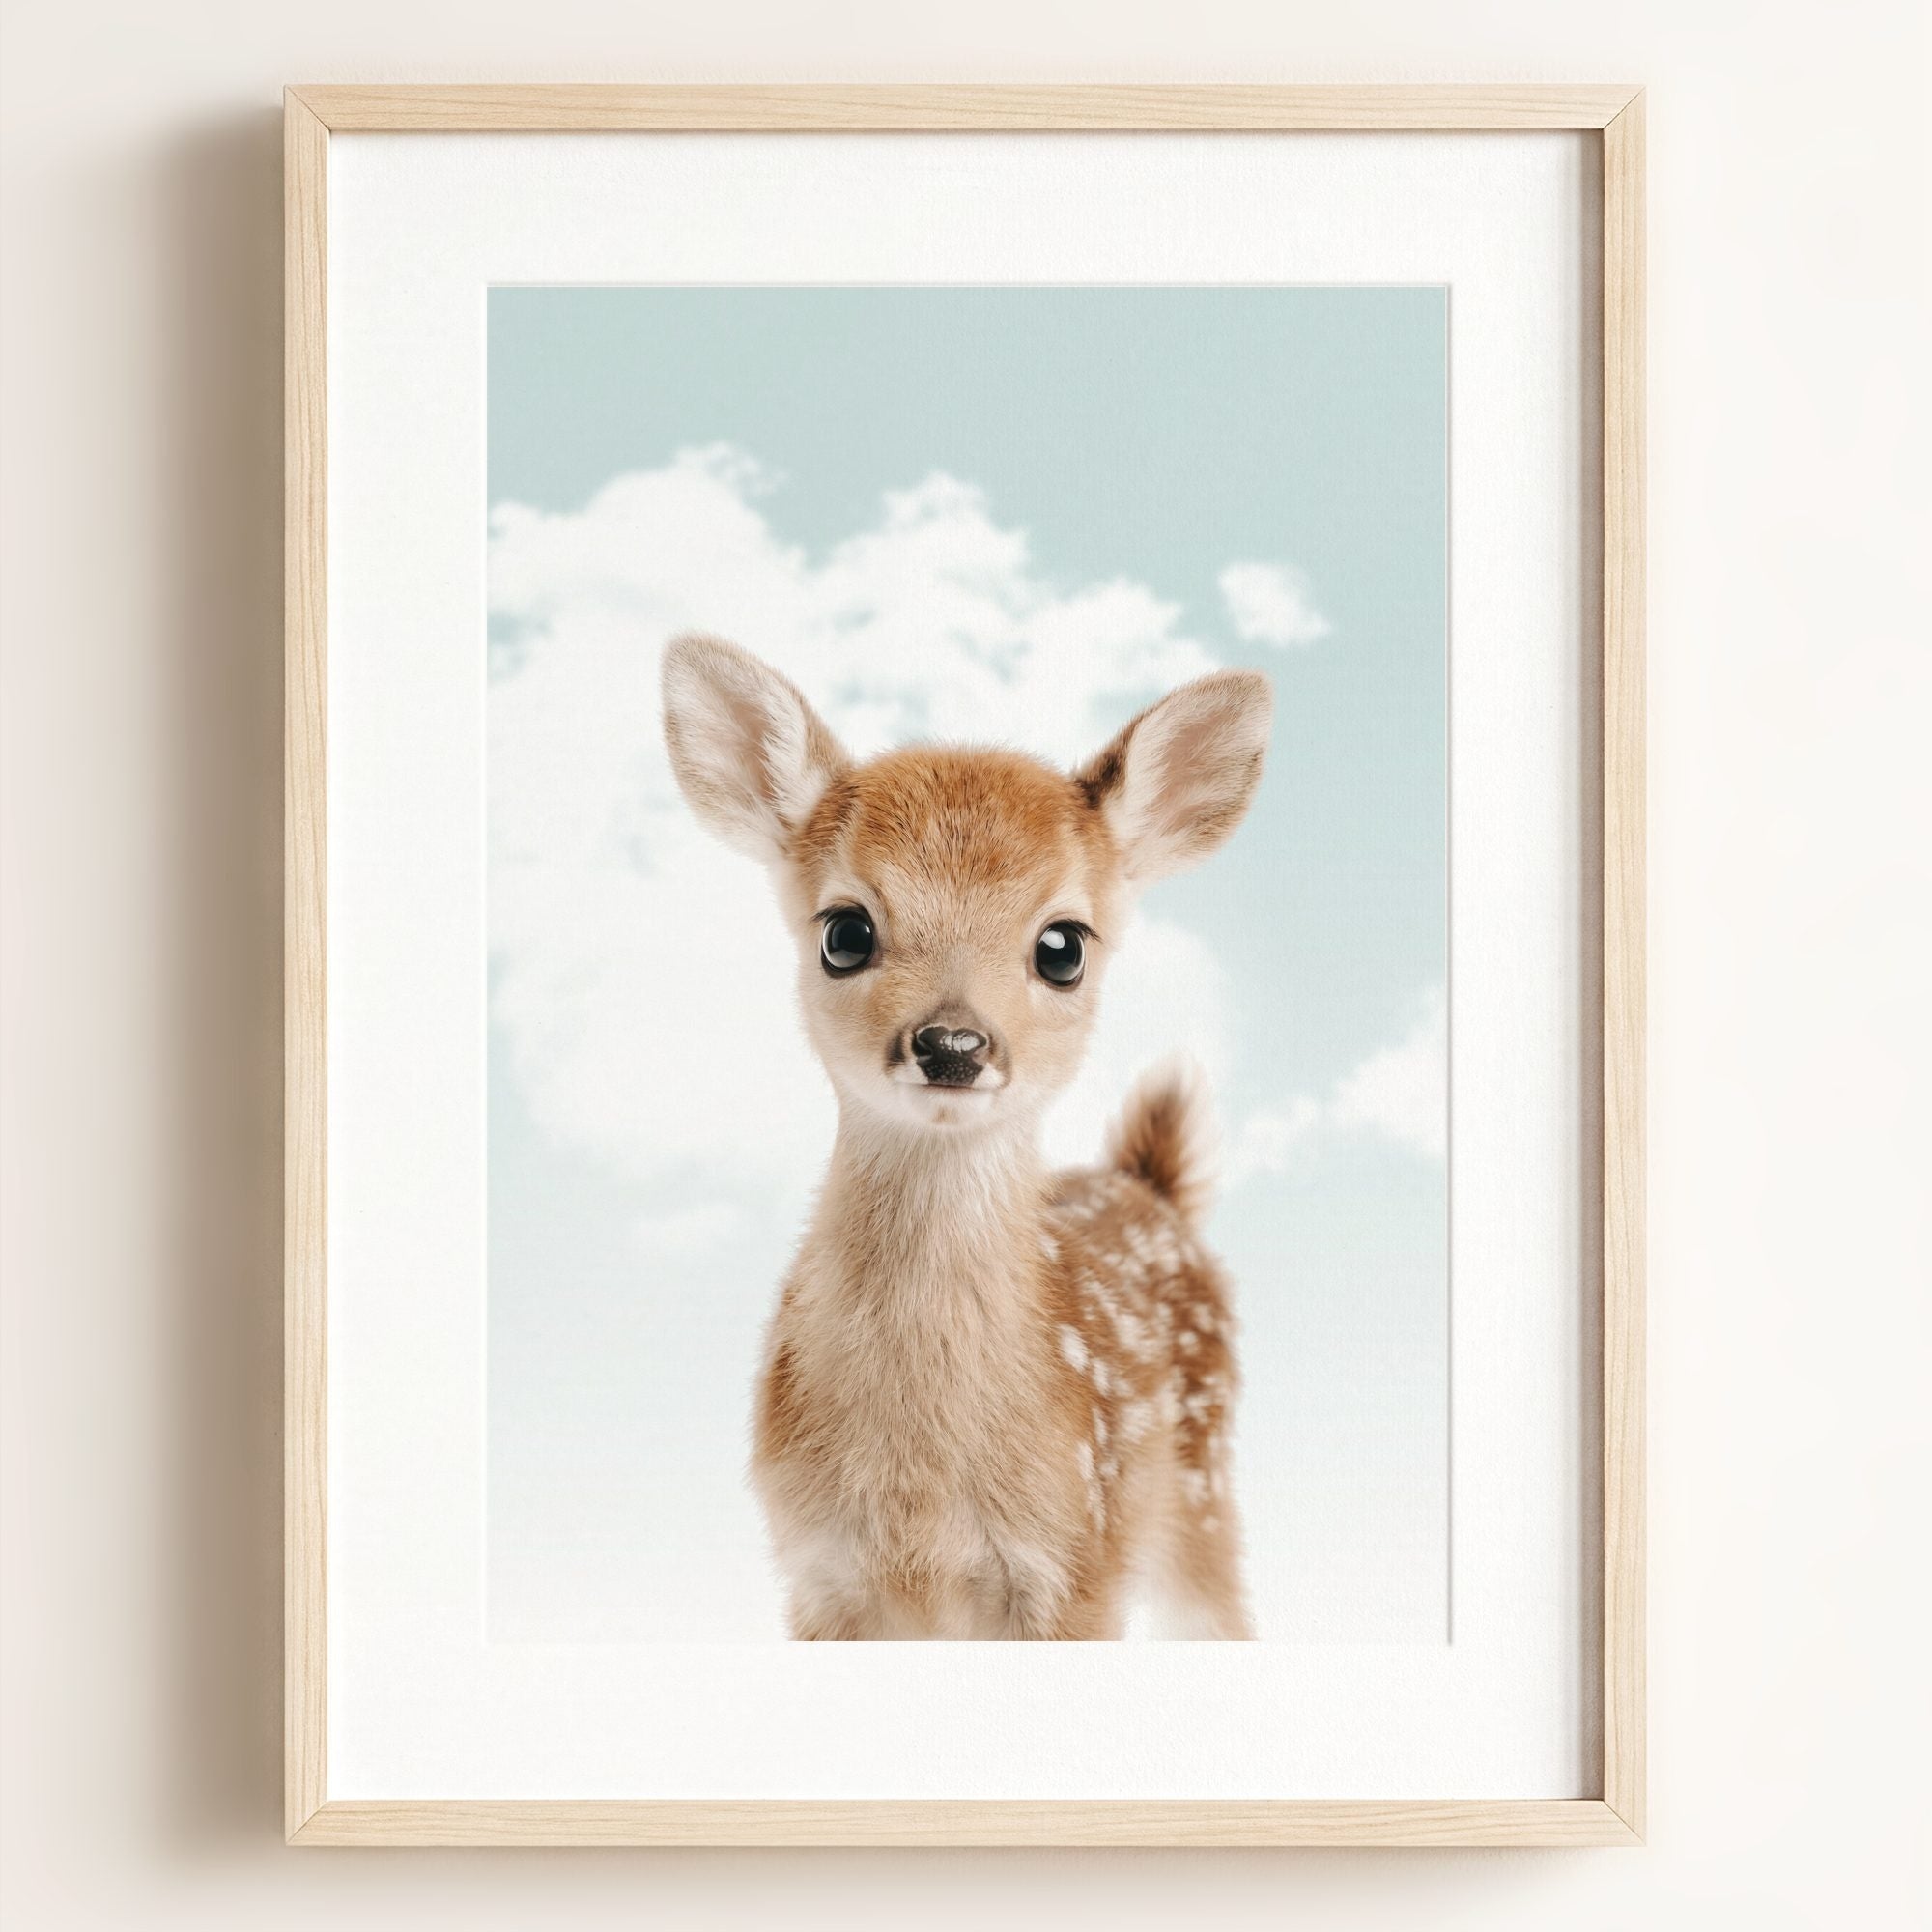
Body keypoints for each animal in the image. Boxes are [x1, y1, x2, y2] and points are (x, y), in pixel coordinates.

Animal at [660, 634, 1273, 1639]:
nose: (952, 1045)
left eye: (1063, 946)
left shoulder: (1076, 1562)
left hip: (1201, 1490)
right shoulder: (818, 1572)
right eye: (845, 932)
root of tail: (1150, 1186)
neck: (922, 1496)